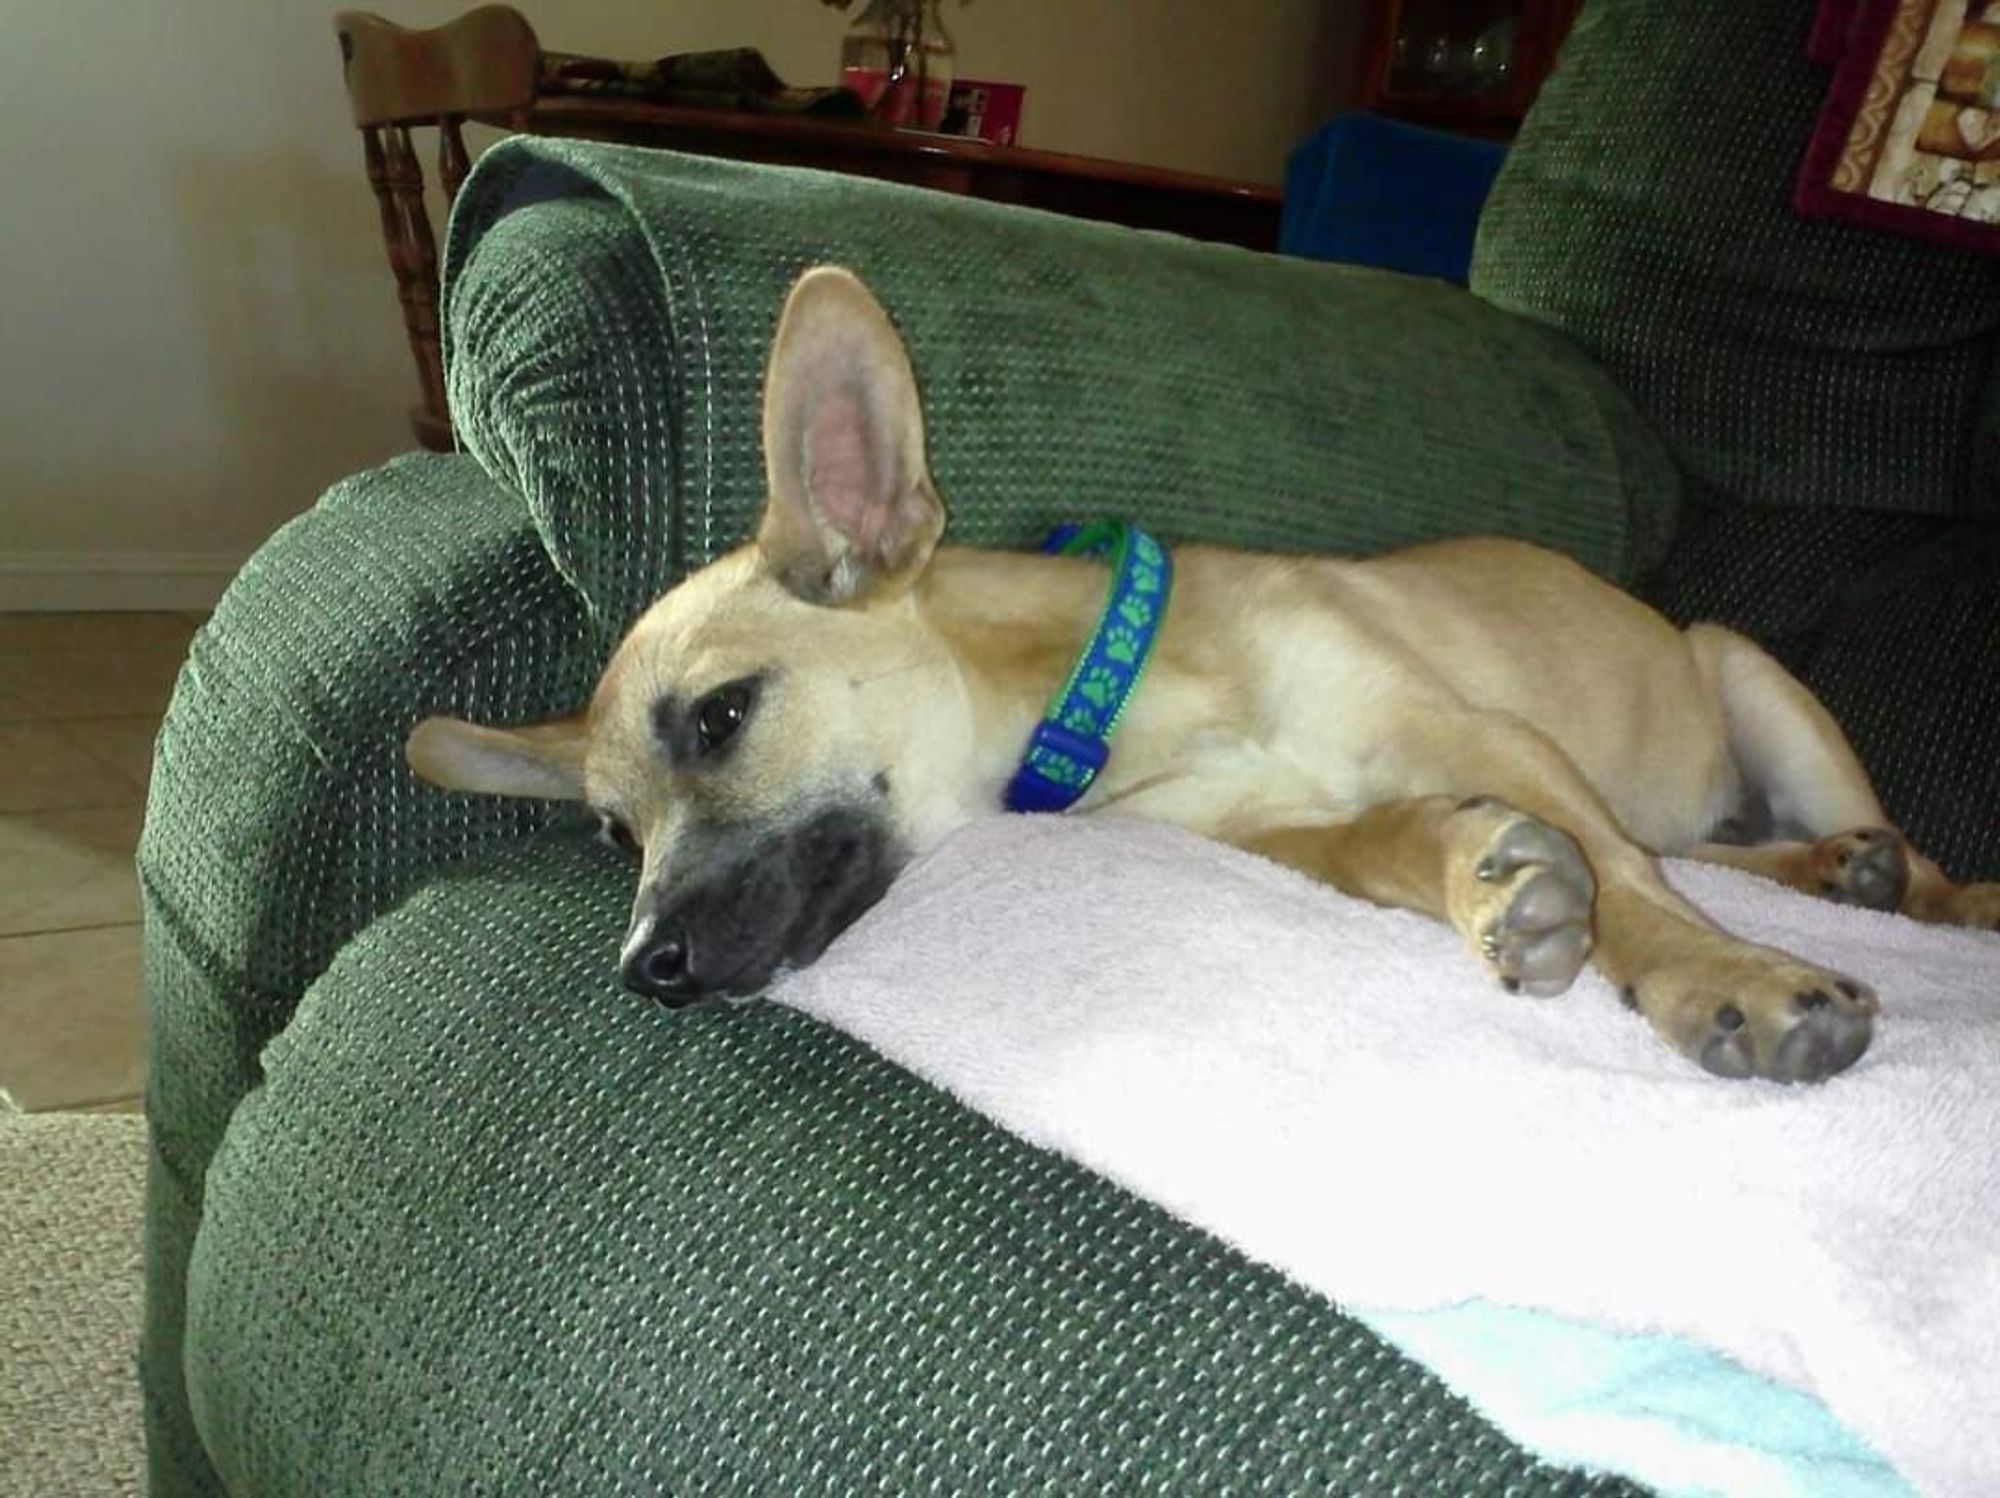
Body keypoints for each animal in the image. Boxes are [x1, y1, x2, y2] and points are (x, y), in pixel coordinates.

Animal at [410, 268, 2000, 1080]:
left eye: (723, 715)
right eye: (607, 835)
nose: (646, 969)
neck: (1120, 706)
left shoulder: (1484, 731)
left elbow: (1634, 888)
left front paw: (1714, 979)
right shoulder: (1267, 832)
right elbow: (1403, 836)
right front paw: (1488, 877)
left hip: (1754, 680)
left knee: (1874, 864)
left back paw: (1890, 881)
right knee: (1735, 846)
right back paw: (1825, 871)